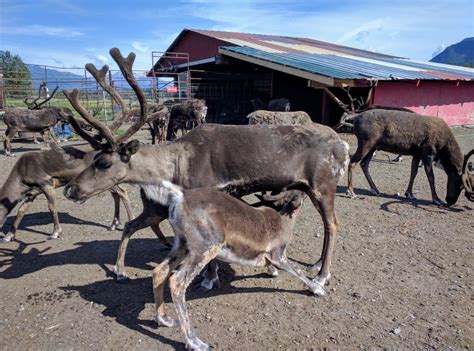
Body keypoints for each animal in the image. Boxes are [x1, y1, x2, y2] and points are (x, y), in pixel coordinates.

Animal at [152, 183, 322, 350]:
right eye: (301, 192)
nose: (310, 190)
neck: (283, 219)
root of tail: (180, 198)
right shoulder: (279, 256)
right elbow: (298, 270)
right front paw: (318, 288)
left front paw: (272, 272)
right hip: (205, 249)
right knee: (176, 282)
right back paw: (195, 342)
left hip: (182, 245)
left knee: (159, 272)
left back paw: (164, 319)